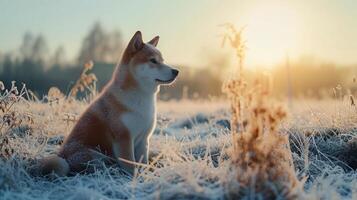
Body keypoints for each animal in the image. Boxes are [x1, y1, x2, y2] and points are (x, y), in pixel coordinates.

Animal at [39, 30, 178, 176]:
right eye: (153, 61)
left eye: (163, 60)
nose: (176, 71)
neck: (141, 98)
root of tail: (61, 156)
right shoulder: (124, 138)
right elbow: (131, 165)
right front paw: (135, 177)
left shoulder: (143, 140)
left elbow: (143, 163)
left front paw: (146, 175)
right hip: (95, 155)